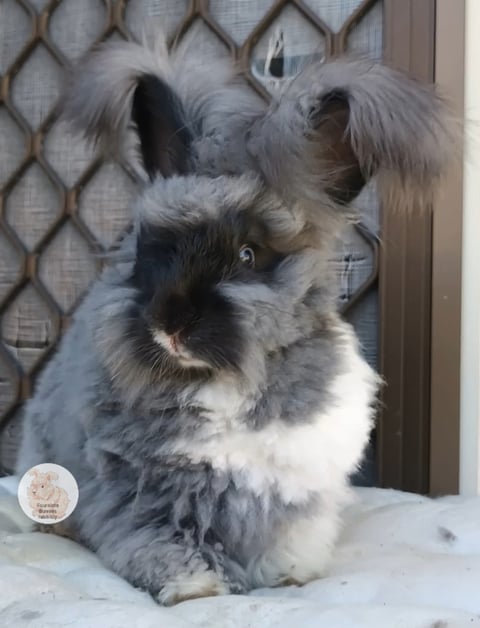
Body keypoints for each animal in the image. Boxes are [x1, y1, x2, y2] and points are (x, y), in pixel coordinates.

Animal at [14, 31, 450, 604]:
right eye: (150, 251)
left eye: (247, 254)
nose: (170, 324)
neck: (222, 383)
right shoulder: (142, 491)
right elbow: (159, 539)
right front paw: (196, 588)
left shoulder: (288, 493)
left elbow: (282, 543)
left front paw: (286, 578)